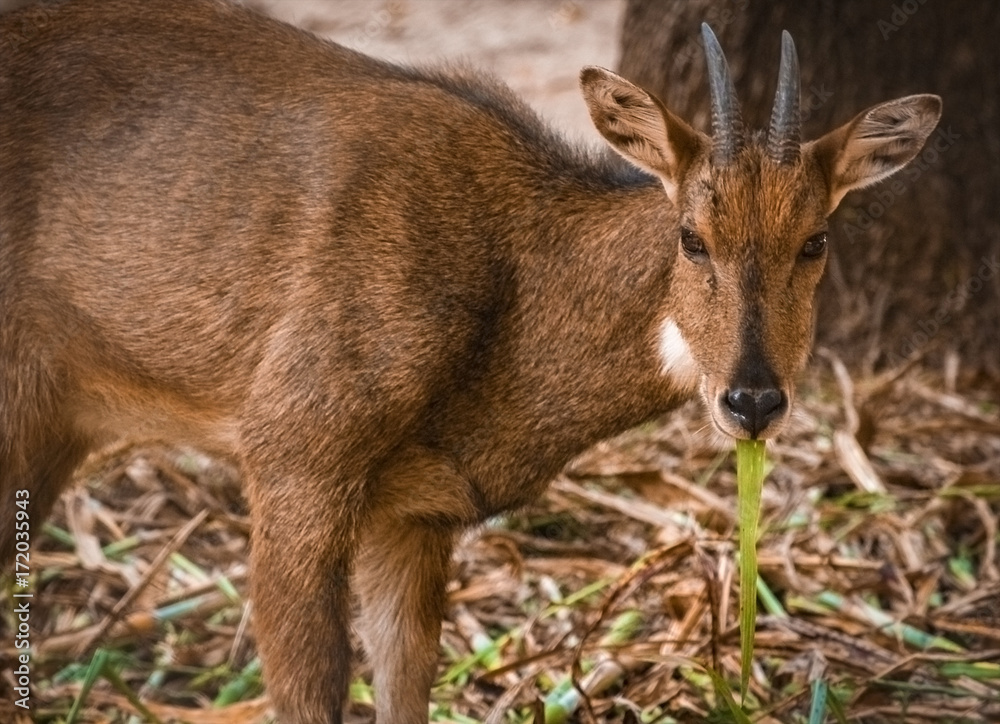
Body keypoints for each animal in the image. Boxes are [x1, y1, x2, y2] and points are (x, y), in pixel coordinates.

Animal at [0, 1, 936, 724]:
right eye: (690, 235)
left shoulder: (416, 511)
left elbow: (407, 684)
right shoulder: (293, 454)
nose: (752, 401)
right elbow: (310, 692)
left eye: (815, 240)